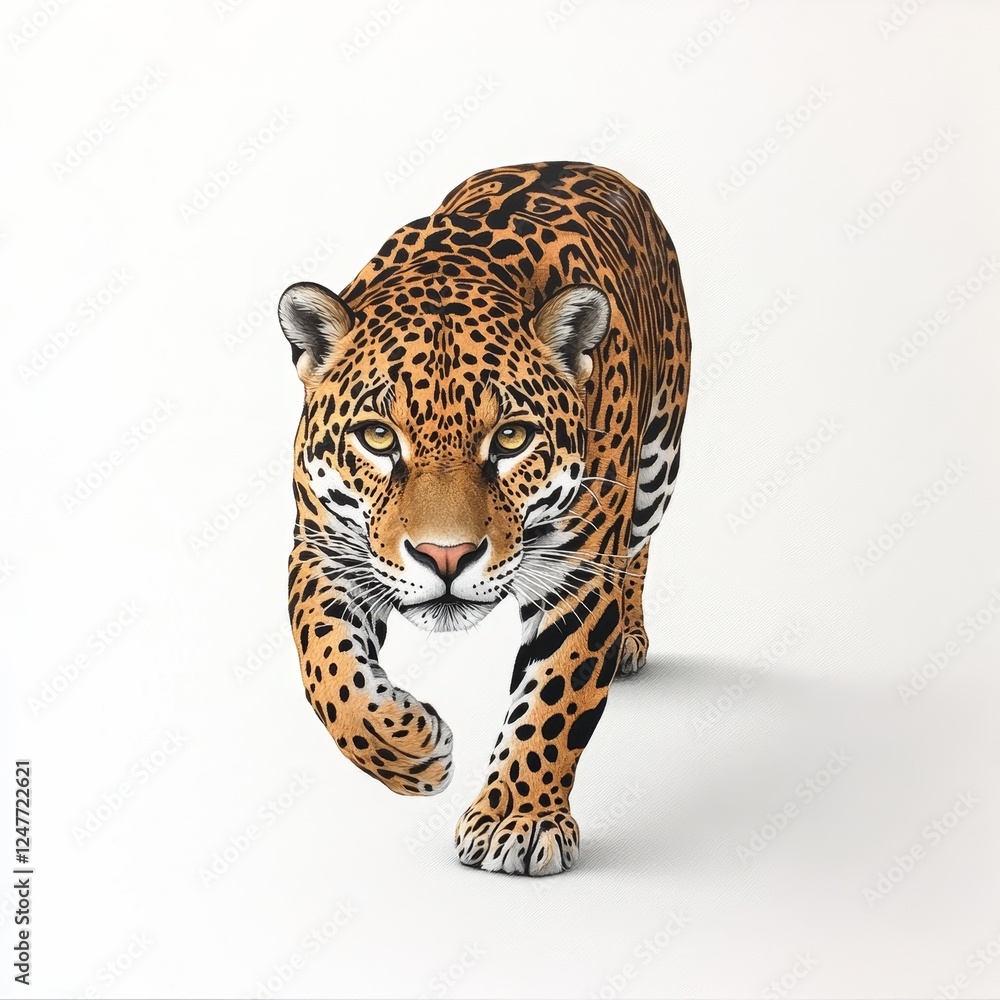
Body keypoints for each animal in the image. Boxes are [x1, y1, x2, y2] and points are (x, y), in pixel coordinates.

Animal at [278, 161, 690, 876]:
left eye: (512, 438)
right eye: (379, 438)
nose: (446, 556)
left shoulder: (579, 576)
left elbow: (554, 698)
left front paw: (518, 820)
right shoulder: (324, 553)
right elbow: (330, 673)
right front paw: (411, 750)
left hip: (656, 465)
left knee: (638, 550)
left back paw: (631, 640)